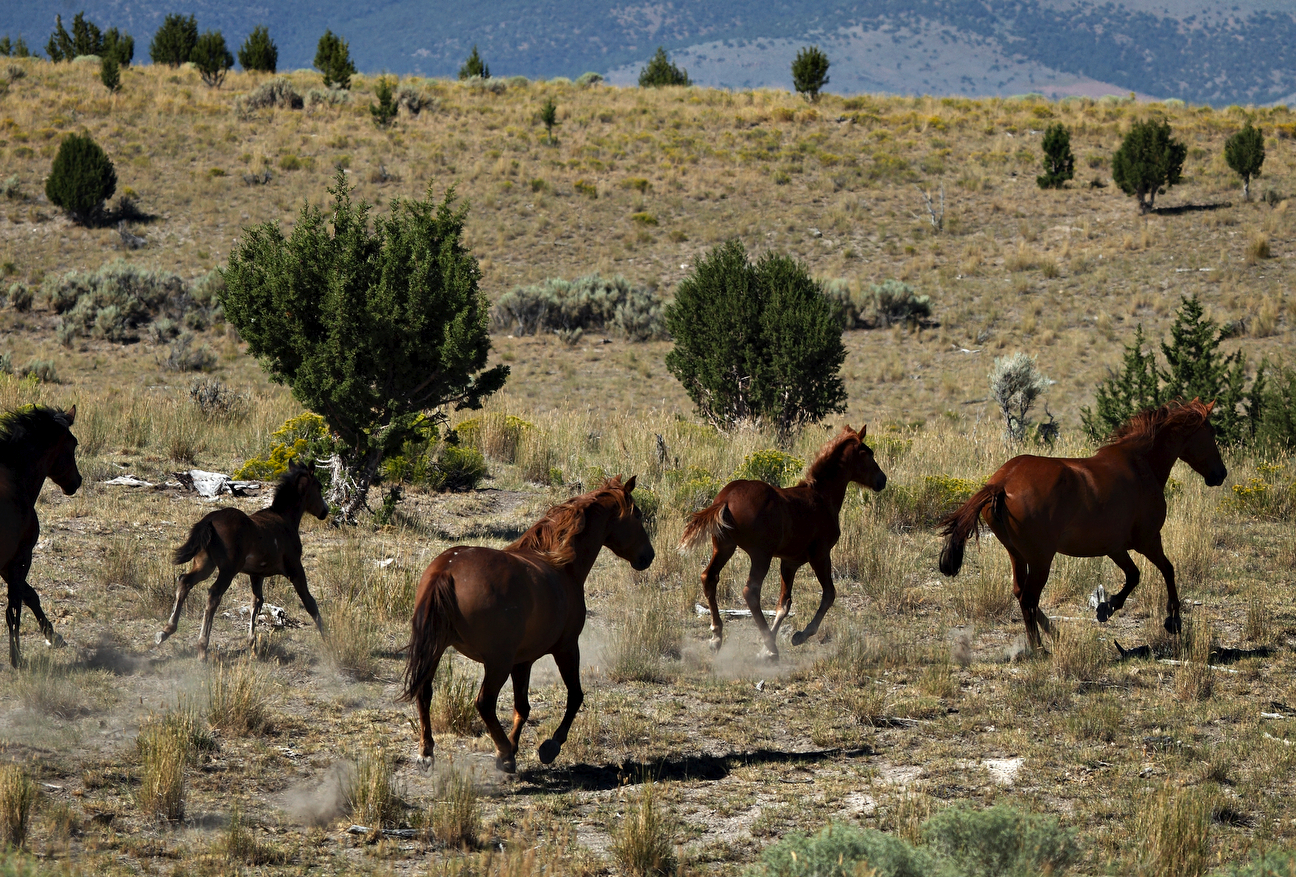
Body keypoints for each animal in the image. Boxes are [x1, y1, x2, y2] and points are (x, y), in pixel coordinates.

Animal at [0, 405, 81, 668]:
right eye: (73, 444)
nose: (77, 482)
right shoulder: (21, 558)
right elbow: (15, 609)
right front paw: (17, 658)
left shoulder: (7, 563)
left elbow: (30, 596)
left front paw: (54, 636)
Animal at [158, 462, 330, 660]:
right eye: (319, 486)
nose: (325, 511)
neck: (285, 520)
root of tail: (209, 520)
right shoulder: (295, 568)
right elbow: (310, 603)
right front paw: (329, 642)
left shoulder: (256, 574)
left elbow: (256, 603)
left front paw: (252, 647)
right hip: (228, 569)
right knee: (213, 594)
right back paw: (202, 648)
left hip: (205, 564)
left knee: (184, 581)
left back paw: (165, 631)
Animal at [401, 475, 654, 773]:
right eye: (637, 514)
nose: (648, 556)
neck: (561, 564)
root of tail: (446, 570)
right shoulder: (567, 647)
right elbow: (575, 696)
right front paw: (548, 747)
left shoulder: (523, 661)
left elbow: (522, 707)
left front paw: (514, 746)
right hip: (496, 662)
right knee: (484, 703)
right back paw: (504, 756)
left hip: (438, 649)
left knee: (424, 693)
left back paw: (427, 753)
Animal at [679, 425, 888, 661]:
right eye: (868, 453)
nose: (882, 480)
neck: (822, 497)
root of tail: (725, 499)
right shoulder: (820, 554)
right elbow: (829, 594)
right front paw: (798, 636)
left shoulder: (790, 562)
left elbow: (784, 604)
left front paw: (764, 650)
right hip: (760, 554)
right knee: (750, 591)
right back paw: (771, 646)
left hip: (724, 546)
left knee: (709, 577)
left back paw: (717, 637)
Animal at [938, 399, 1227, 651]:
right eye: (1211, 432)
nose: (1221, 474)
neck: (1140, 463)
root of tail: (1002, 482)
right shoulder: (1148, 539)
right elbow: (1167, 570)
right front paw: (1173, 621)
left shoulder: (1115, 547)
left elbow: (1133, 575)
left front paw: (1107, 607)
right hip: (1041, 557)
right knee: (1029, 597)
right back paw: (1039, 648)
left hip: (1017, 553)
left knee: (1020, 593)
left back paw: (1055, 634)